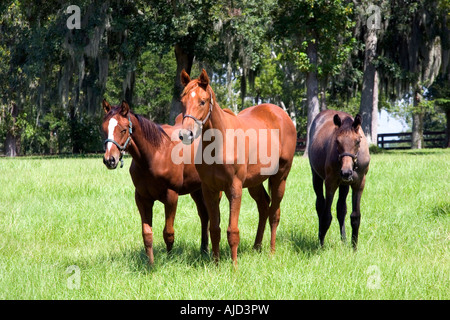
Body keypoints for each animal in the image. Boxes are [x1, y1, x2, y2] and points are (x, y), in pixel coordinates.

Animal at [100, 100, 209, 264]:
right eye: (104, 129)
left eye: (124, 130)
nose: (109, 160)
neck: (155, 155)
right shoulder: (142, 198)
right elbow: (147, 234)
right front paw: (150, 264)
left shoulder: (171, 197)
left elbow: (168, 232)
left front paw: (170, 260)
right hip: (196, 190)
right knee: (204, 216)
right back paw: (204, 250)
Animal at [178, 69, 298, 264]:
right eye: (183, 102)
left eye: (202, 101)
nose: (185, 134)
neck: (219, 143)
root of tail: (281, 114)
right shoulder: (209, 190)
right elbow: (215, 229)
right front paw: (216, 263)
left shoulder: (234, 188)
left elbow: (232, 231)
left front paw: (234, 267)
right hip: (255, 182)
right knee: (264, 206)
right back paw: (257, 247)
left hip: (280, 178)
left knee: (274, 214)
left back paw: (271, 252)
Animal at [308, 109, 370, 248]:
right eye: (337, 141)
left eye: (358, 141)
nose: (346, 172)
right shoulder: (330, 183)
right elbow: (326, 216)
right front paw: (321, 245)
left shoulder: (359, 184)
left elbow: (355, 216)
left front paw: (354, 247)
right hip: (317, 177)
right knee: (320, 205)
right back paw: (320, 235)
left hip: (344, 185)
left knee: (341, 209)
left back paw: (344, 240)